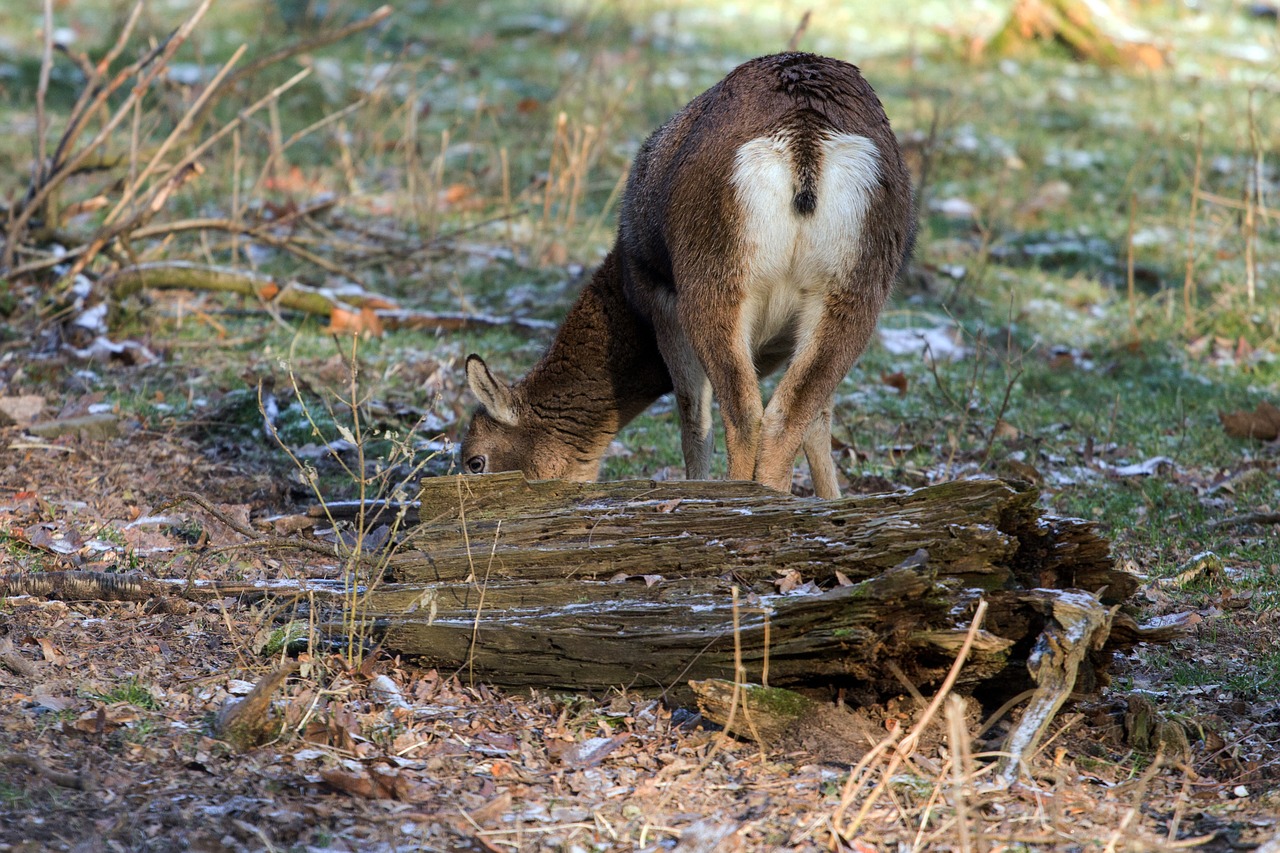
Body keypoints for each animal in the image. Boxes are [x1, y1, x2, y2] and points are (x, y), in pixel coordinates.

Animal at [460, 53, 911, 494]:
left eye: (474, 460)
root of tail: (805, 137)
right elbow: (818, 427)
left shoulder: (662, 300)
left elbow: (693, 421)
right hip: (856, 286)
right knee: (787, 415)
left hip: (712, 277)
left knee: (744, 414)